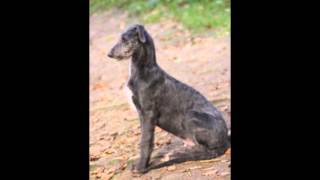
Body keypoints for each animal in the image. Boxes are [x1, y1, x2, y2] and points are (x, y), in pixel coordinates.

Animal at [107, 23, 230, 173]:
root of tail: (225, 139)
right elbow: (145, 139)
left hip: (190, 116)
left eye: (125, 39)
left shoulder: (148, 113)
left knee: (207, 151)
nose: (109, 54)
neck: (143, 70)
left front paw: (141, 167)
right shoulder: (141, 113)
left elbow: (145, 141)